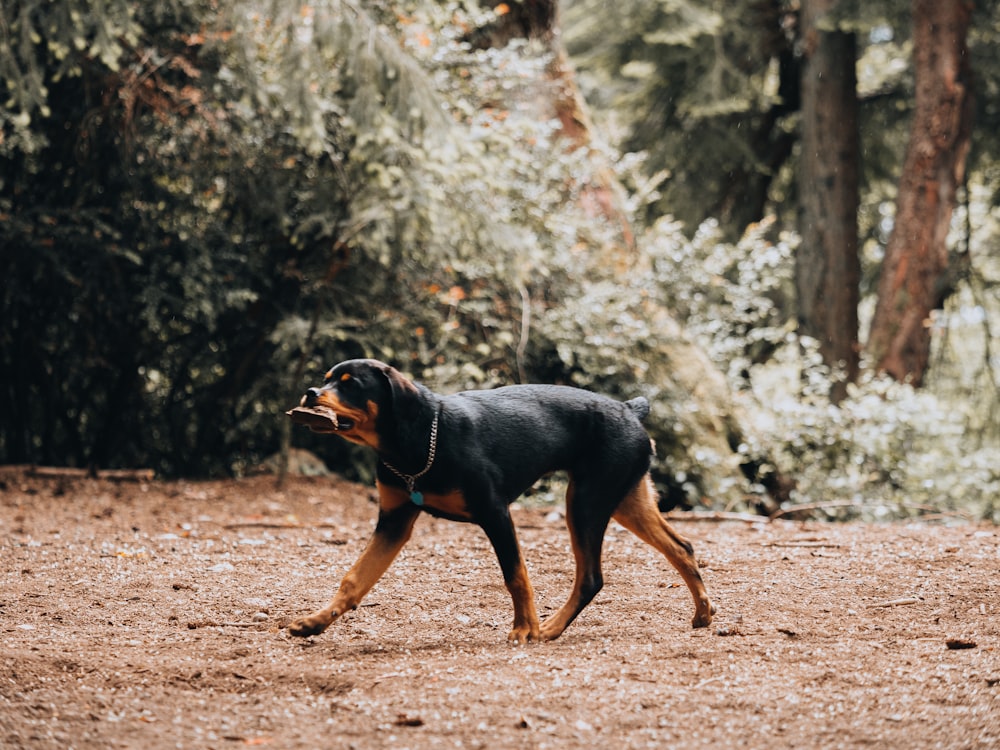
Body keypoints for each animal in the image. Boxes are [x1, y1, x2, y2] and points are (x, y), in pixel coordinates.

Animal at [286, 362, 716, 644]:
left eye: (350, 384)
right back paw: (702, 613)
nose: (309, 393)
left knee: (591, 577)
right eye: (326, 380)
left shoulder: (495, 513)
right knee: (682, 547)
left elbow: (516, 576)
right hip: (626, 500)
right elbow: (354, 580)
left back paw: (548, 628)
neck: (417, 440)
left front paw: (525, 628)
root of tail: (630, 409)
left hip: (586, 503)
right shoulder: (393, 521)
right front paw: (314, 622)